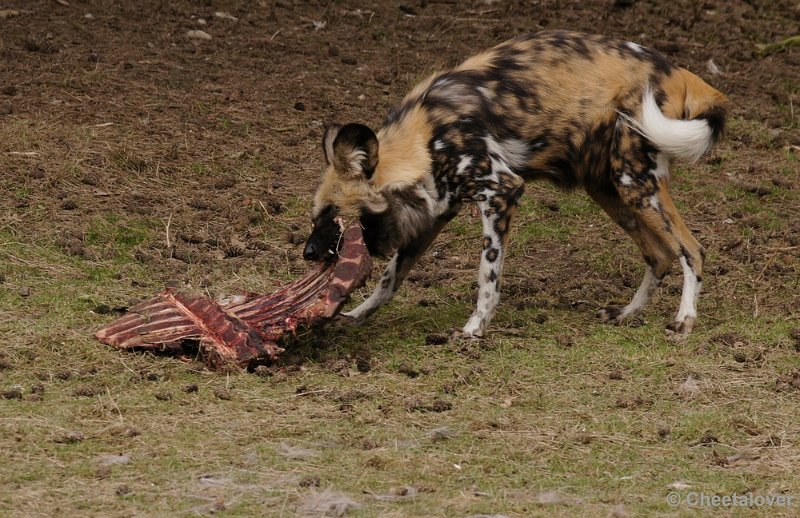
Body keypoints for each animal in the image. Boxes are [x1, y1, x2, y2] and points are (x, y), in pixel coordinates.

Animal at [304, 30, 728, 340]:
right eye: (316, 215)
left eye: (333, 215)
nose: (307, 254)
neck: (423, 139)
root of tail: (679, 72)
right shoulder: (435, 212)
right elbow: (389, 280)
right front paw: (356, 315)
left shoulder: (501, 190)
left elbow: (487, 277)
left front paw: (473, 330)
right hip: (610, 190)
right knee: (660, 255)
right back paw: (625, 313)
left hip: (635, 183)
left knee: (691, 250)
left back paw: (684, 320)